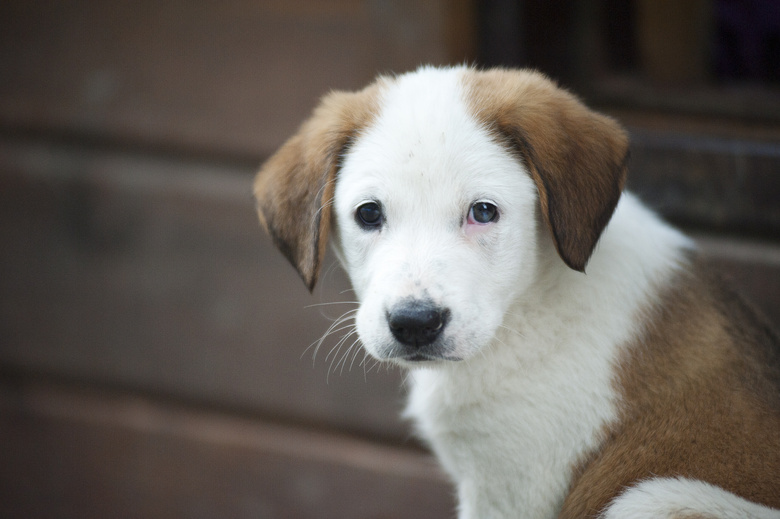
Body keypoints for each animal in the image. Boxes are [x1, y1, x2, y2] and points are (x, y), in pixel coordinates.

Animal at [253, 68, 776, 519]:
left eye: (483, 212)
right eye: (368, 214)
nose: (415, 324)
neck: (526, 309)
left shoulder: (511, 485)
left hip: (655, 496)